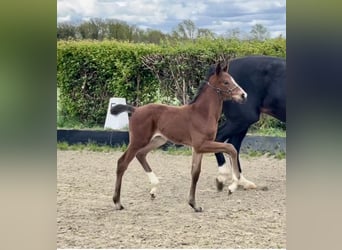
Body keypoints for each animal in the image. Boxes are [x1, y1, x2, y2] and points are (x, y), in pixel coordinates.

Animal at [111, 62, 247, 211]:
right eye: (226, 82)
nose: (243, 95)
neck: (202, 113)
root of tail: (135, 110)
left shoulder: (198, 148)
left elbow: (195, 173)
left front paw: (194, 204)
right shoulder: (201, 144)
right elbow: (231, 148)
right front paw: (233, 186)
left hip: (158, 140)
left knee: (141, 154)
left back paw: (154, 188)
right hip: (138, 140)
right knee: (122, 162)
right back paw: (117, 202)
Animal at [211, 55, 286, 190]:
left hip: (242, 123)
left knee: (233, 146)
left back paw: (241, 181)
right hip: (241, 120)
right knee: (219, 138)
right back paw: (224, 174)